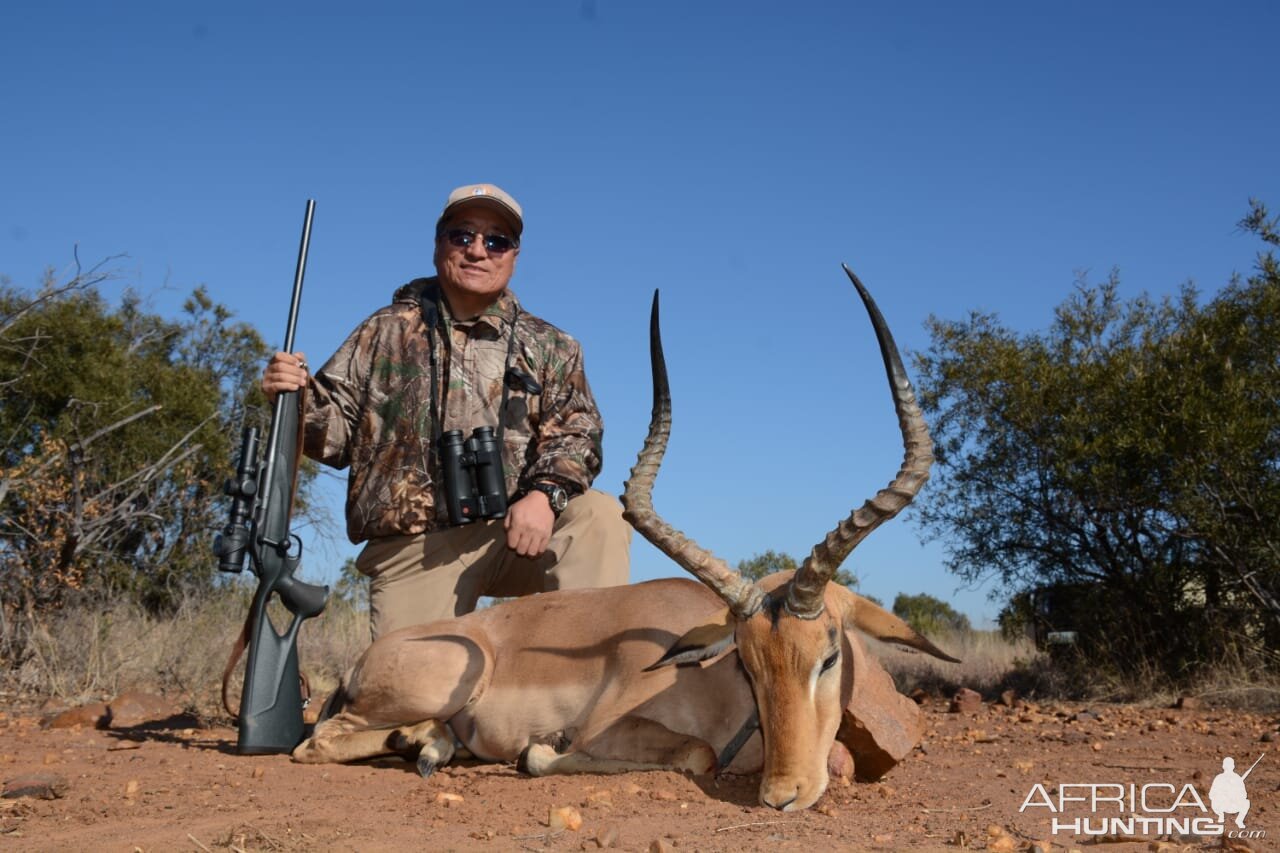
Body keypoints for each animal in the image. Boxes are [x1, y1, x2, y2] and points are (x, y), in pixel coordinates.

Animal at [294, 267, 957, 809]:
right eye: (749, 663)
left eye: (830, 656)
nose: (782, 795)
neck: (713, 686)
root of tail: (369, 657)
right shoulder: (610, 729)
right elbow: (690, 753)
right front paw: (538, 751)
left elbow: (840, 759)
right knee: (314, 744)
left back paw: (430, 746)